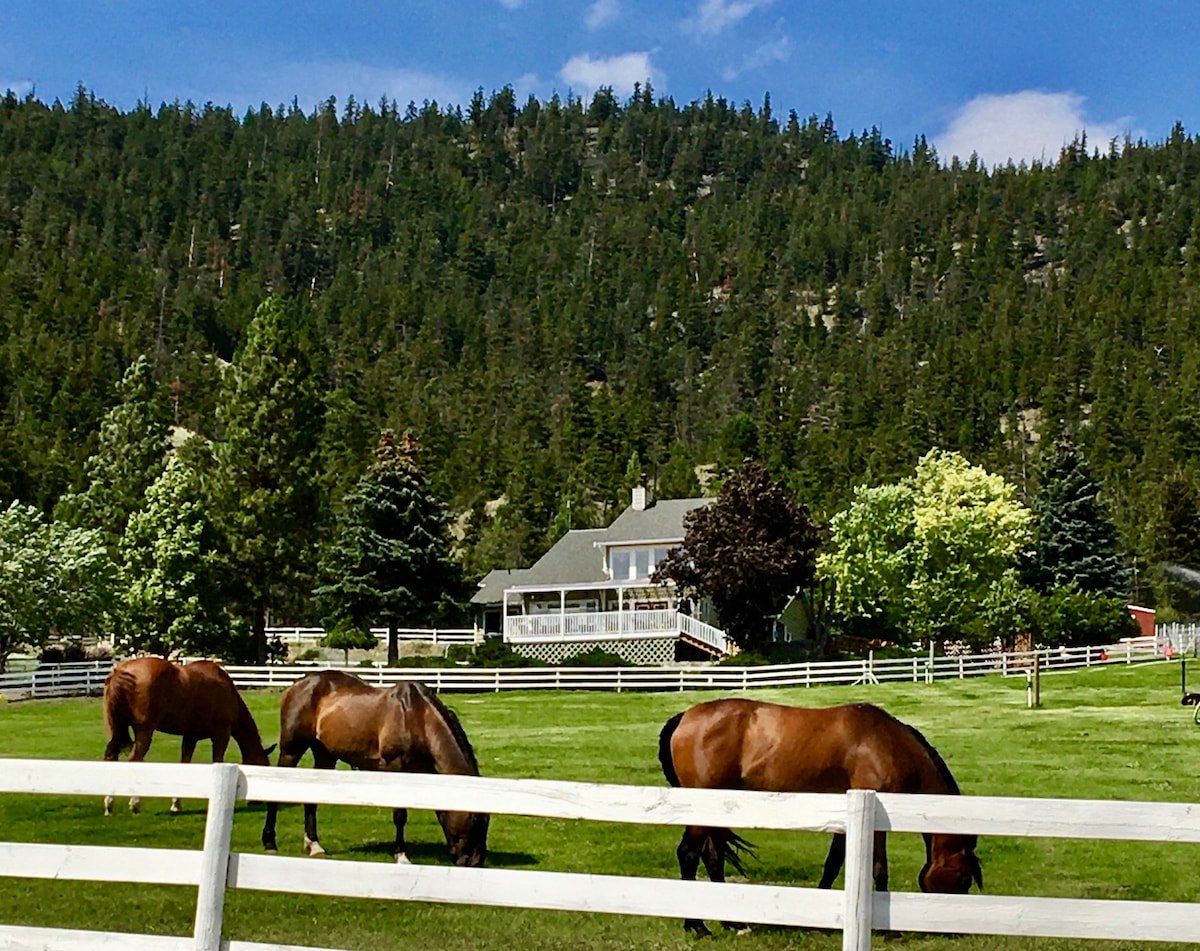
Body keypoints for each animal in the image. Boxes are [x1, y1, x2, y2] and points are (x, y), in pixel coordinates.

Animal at [102, 658, 274, 811]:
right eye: (264, 766)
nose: (256, 801)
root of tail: (121, 671)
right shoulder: (222, 734)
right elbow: (217, 760)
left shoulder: (190, 737)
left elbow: (184, 764)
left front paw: (176, 804)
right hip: (144, 732)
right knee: (134, 760)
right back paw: (135, 803)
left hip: (114, 731)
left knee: (111, 758)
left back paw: (109, 803)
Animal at [260, 672, 489, 864]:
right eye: (476, 821)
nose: (474, 863)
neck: (416, 717)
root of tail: (298, 684)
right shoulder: (396, 768)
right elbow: (400, 815)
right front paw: (401, 855)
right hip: (291, 750)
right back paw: (270, 842)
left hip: (325, 756)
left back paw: (314, 845)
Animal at [657, 696, 984, 936]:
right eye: (963, 878)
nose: (957, 932)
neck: (887, 743)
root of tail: (684, 717)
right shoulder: (878, 822)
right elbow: (879, 868)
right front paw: (890, 932)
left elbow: (833, 863)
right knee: (688, 854)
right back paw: (697, 926)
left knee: (712, 858)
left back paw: (732, 923)